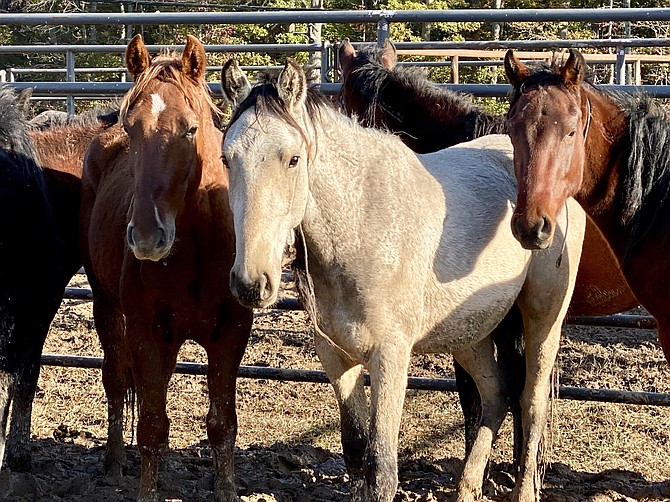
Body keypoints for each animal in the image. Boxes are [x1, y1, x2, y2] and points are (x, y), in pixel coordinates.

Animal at [80, 33, 255, 500]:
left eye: (190, 128)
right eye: (131, 127)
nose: (145, 236)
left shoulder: (231, 334)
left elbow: (222, 425)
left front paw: (226, 488)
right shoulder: (143, 331)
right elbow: (152, 425)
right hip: (106, 306)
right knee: (116, 381)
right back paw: (113, 463)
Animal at [223, 59, 584, 502]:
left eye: (292, 159)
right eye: (226, 158)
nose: (251, 283)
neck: (362, 226)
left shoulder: (390, 357)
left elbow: (381, 469)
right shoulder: (335, 358)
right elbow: (356, 452)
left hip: (542, 320)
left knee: (531, 402)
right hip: (471, 331)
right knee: (496, 394)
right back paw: (466, 489)